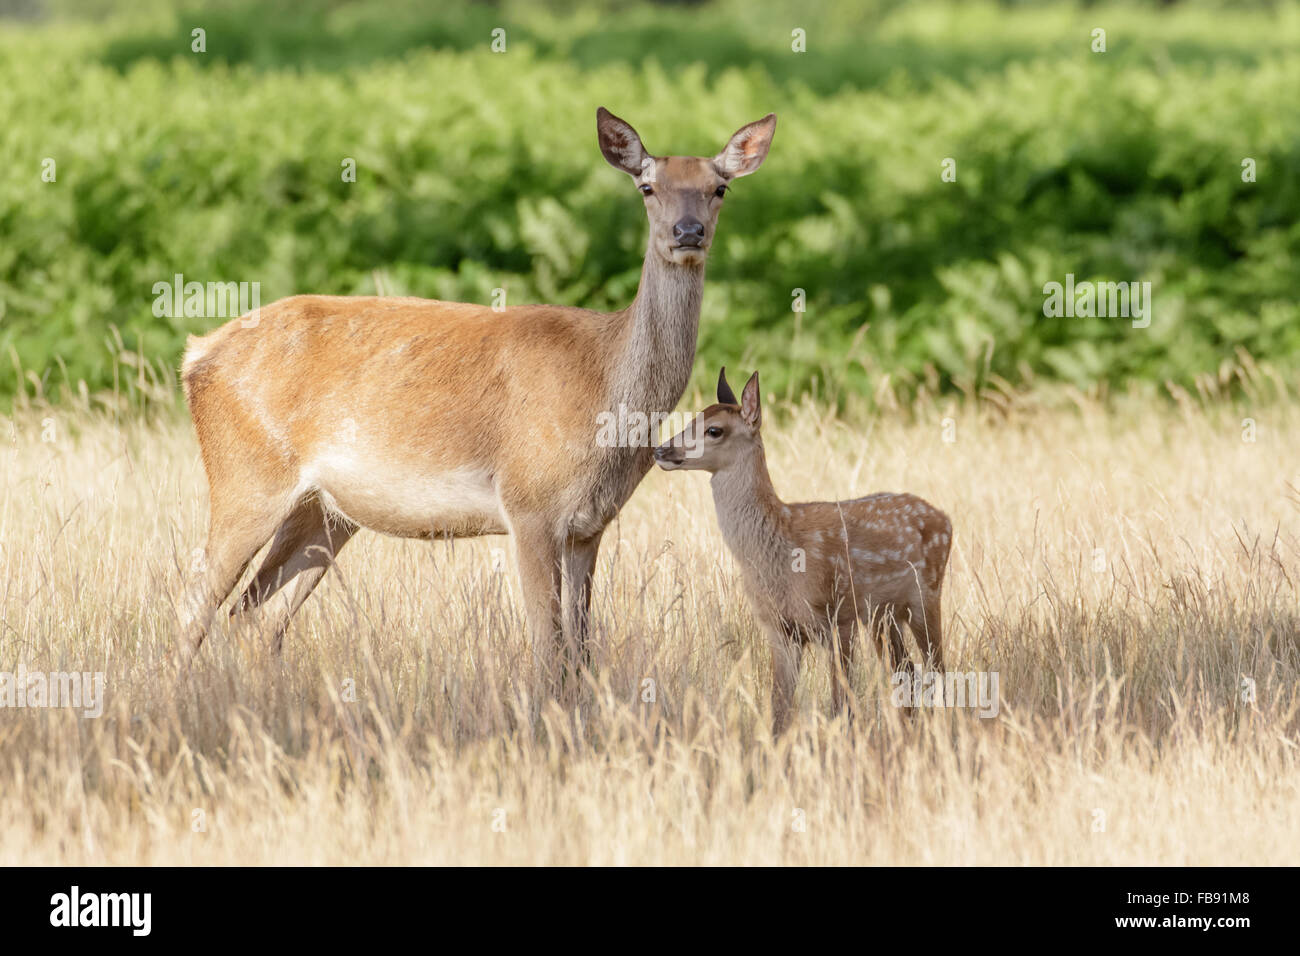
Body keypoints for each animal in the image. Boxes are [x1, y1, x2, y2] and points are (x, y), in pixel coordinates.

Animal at [178, 108, 774, 697]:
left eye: (719, 188)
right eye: (647, 186)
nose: (688, 231)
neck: (603, 387)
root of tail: (195, 355)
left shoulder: (590, 525)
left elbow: (581, 652)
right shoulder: (529, 503)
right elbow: (548, 652)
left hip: (323, 512)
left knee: (253, 618)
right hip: (246, 477)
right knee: (193, 608)